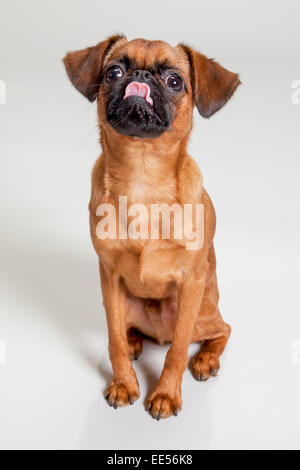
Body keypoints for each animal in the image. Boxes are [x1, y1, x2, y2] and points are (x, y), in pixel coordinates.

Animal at [62, 35, 239, 420]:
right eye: (113, 72)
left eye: (174, 81)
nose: (140, 76)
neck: (142, 176)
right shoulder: (109, 276)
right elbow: (112, 338)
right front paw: (124, 383)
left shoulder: (191, 283)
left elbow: (177, 353)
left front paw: (166, 394)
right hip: (126, 303)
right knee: (126, 329)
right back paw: (134, 342)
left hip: (201, 312)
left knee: (220, 329)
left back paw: (206, 359)